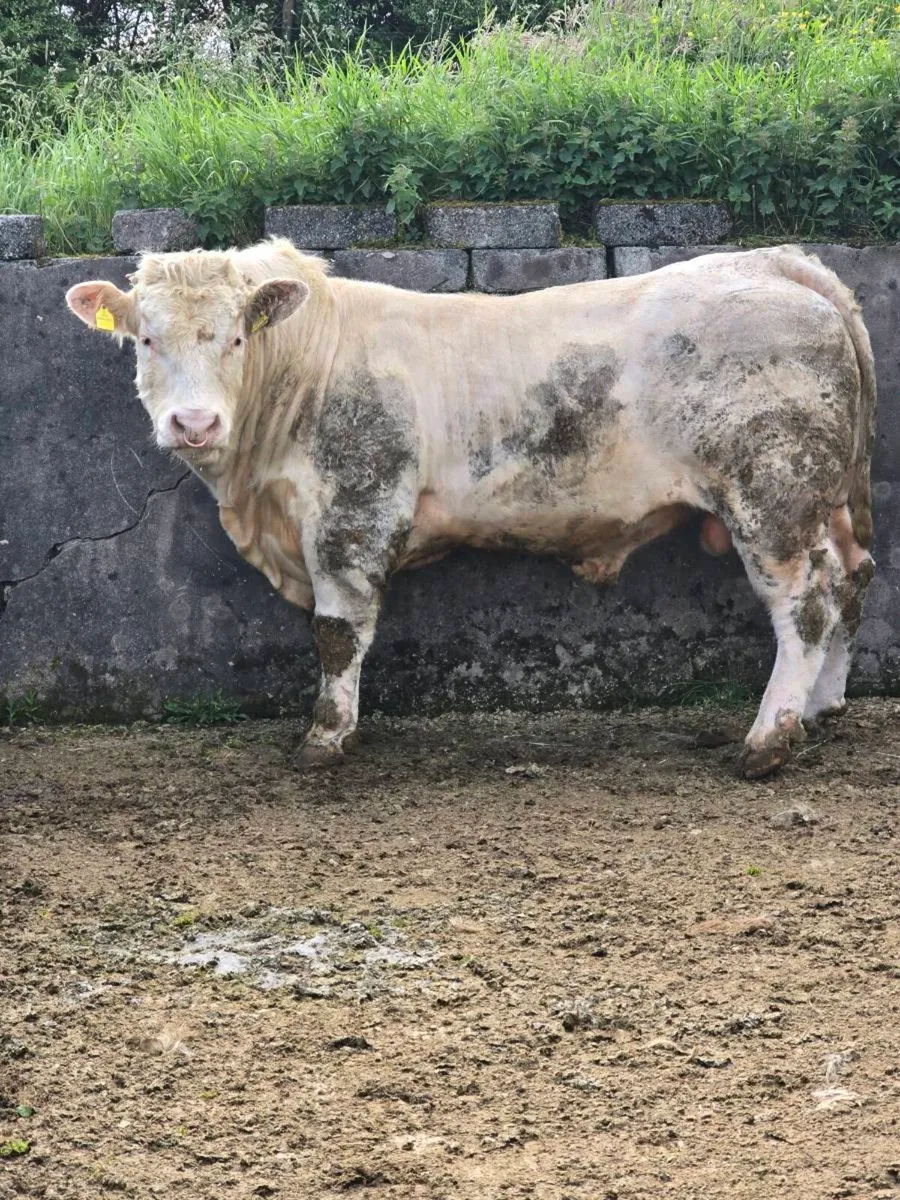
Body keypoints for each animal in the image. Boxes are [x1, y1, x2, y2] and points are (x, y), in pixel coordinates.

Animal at [66, 239, 876, 779]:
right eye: (146, 339)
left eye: (236, 338)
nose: (194, 423)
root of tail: (776, 263)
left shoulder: (355, 510)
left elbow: (337, 633)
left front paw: (326, 738)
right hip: (827, 503)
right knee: (851, 580)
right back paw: (823, 708)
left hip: (772, 496)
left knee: (803, 606)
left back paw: (768, 740)